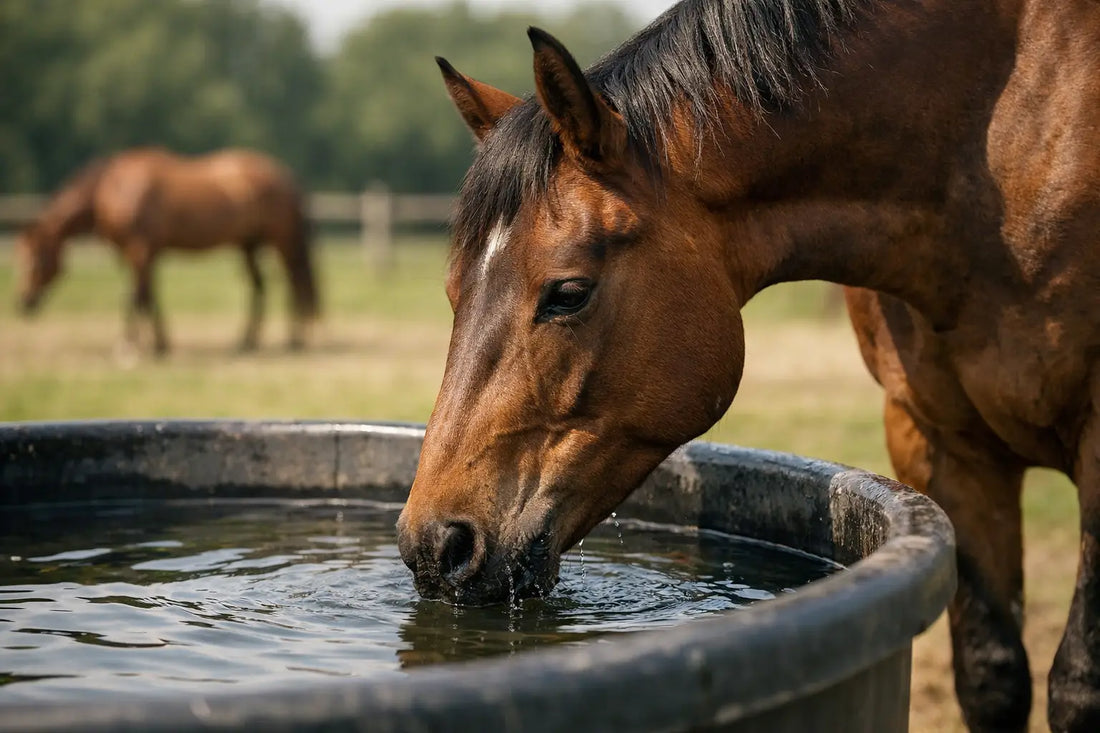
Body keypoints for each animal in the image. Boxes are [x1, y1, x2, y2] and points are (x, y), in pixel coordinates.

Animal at [15, 148, 319, 354]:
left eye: (34, 262)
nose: (23, 303)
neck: (116, 187)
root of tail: (284, 176)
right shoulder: (140, 254)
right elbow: (147, 295)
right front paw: (160, 344)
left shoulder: (140, 249)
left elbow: (136, 297)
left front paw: (129, 346)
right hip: (249, 244)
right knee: (260, 286)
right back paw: (247, 341)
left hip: (282, 240)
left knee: (294, 282)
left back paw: (294, 340)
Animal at [395, 0, 1100, 730]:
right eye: (453, 292)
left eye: (568, 292)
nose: (436, 545)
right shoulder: (937, 440)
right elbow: (992, 674)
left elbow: (1077, 681)